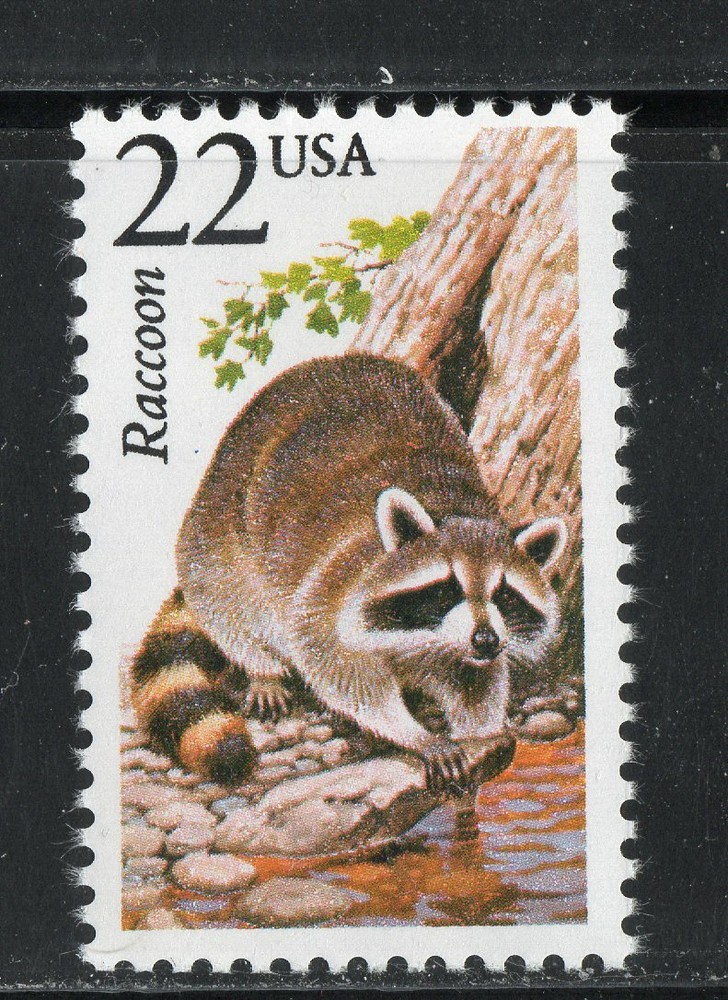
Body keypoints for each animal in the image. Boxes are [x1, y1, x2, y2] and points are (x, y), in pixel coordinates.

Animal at [132, 354, 566, 789]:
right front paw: (413, 733)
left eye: (504, 594)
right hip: (219, 525)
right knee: (225, 599)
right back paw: (261, 666)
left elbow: (476, 682)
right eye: (448, 588)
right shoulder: (333, 586)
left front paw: (480, 730)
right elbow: (337, 666)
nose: (486, 639)